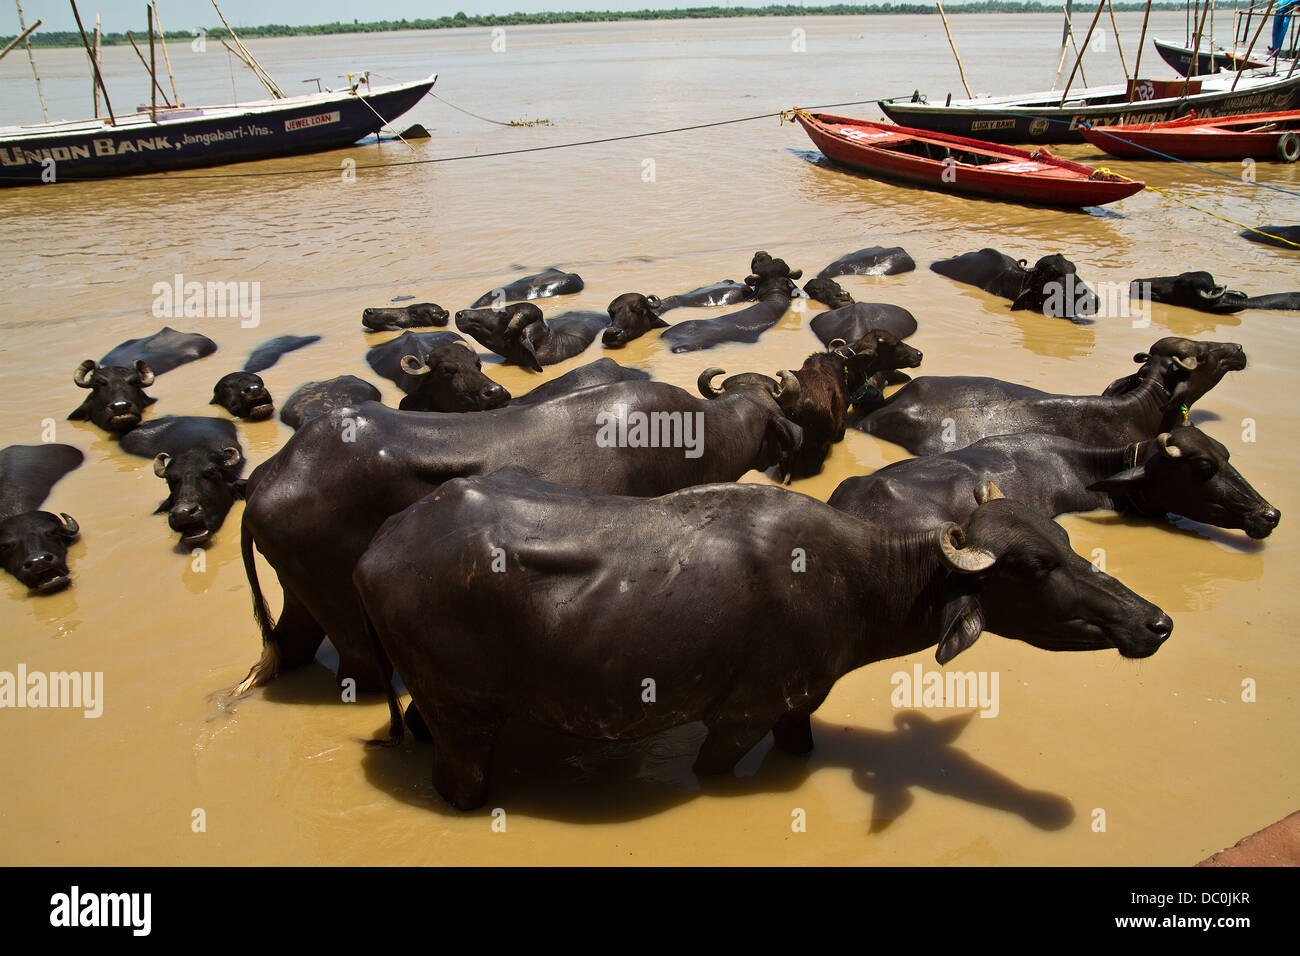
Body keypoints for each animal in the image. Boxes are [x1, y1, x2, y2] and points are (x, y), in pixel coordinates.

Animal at [353, 469, 1171, 810]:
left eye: (1066, 542)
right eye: (1034, 566)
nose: (1155, 622)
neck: (857, 579)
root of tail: (379, 546)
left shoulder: (792, 709)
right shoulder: (736, 720)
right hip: (464, 723)